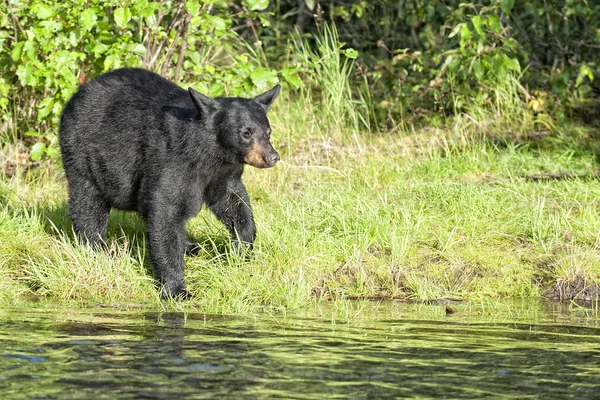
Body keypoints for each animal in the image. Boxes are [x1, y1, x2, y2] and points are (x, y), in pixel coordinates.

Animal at [59, 68, 280, 296]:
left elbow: (234, 204)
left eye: (268, 132)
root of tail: (78, 93)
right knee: (88, 203)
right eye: (246, 132)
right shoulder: (172, 162)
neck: (209, 154)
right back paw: (95, 248)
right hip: (81, 153)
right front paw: (176, 289)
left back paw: (190, 246)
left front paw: (240, 251)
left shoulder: (223, 174)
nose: (272, 157)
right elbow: (165, 213)